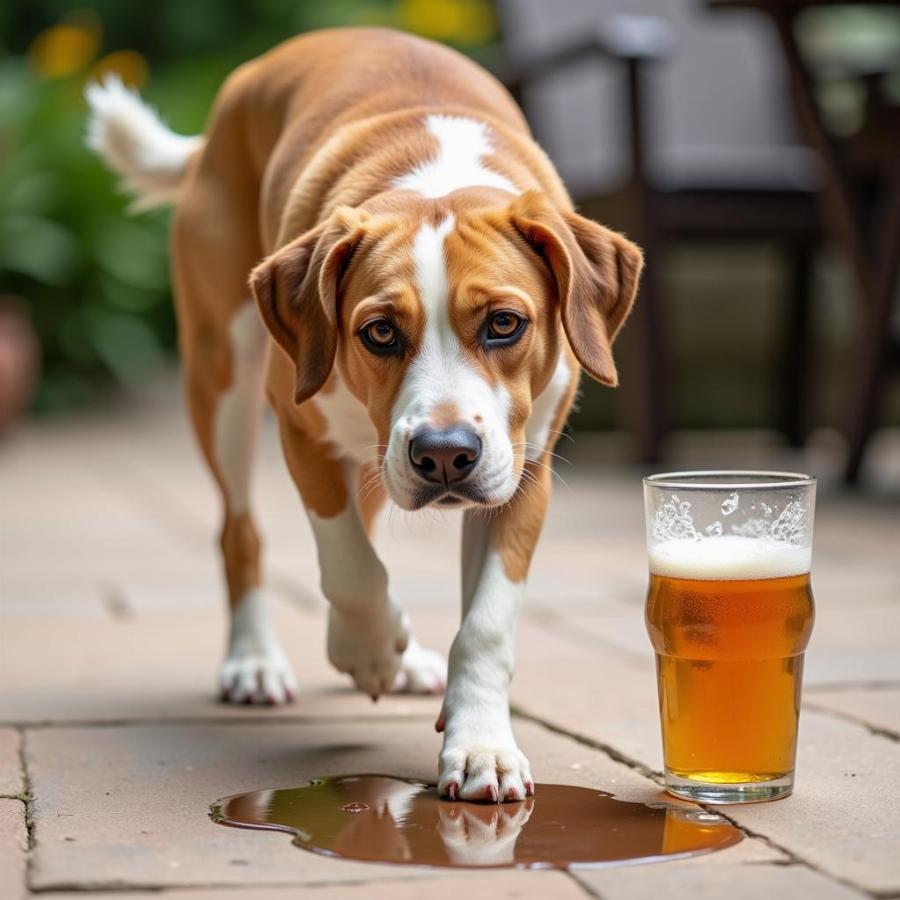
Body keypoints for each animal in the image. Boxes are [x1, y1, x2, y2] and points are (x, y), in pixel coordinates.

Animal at [86, 26, 640, 800]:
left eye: (505, 324)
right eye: (379, 332)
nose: (444, 453)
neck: (438, 179)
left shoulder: (526, 471)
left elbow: (487, 623)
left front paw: (481, 745)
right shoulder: (299, 428)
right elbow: (349, 565)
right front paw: (370, 649)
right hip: (222, 377)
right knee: (241, 530)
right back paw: (257, 661)